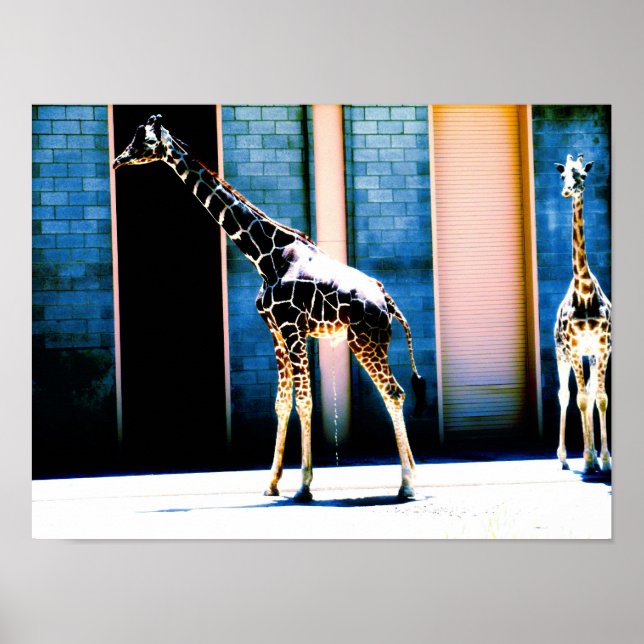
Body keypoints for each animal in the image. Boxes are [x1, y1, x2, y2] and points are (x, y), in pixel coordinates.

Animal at [113, 114, 426, 501]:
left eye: (141, 139)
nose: (118, 160)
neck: (265, 256)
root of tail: (387, 300)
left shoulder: (293, 330)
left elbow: (305, 401)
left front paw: (304, 487)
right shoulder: (276, 333)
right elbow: (281, 403)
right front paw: (272, 483)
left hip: (365, 341)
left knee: (393, 393)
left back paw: (407, 484)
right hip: (366, 341)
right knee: (394, 393)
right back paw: (413, 477)